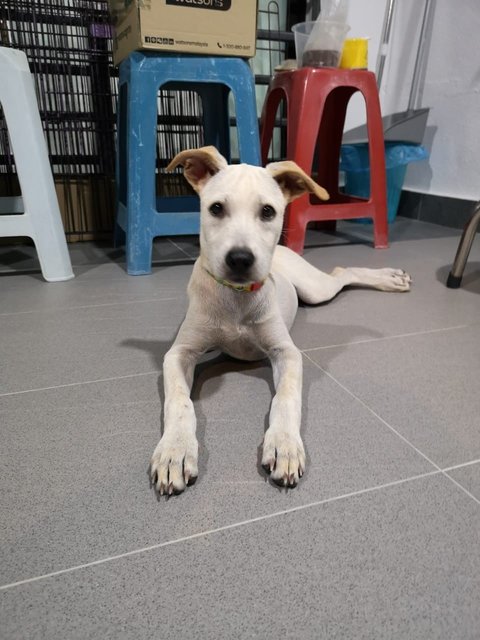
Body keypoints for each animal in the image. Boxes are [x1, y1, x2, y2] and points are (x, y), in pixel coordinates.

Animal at [149, 146, 408, 496]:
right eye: (216, 208)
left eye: (268, 211)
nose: (240, 259)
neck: (237, 298)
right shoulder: (180, 353)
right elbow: (179, 402)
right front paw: (174, 450)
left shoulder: (287, 352)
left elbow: (286, 398)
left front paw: (284, 445)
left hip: (315, 289)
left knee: (342, 272)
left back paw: (389, 278)